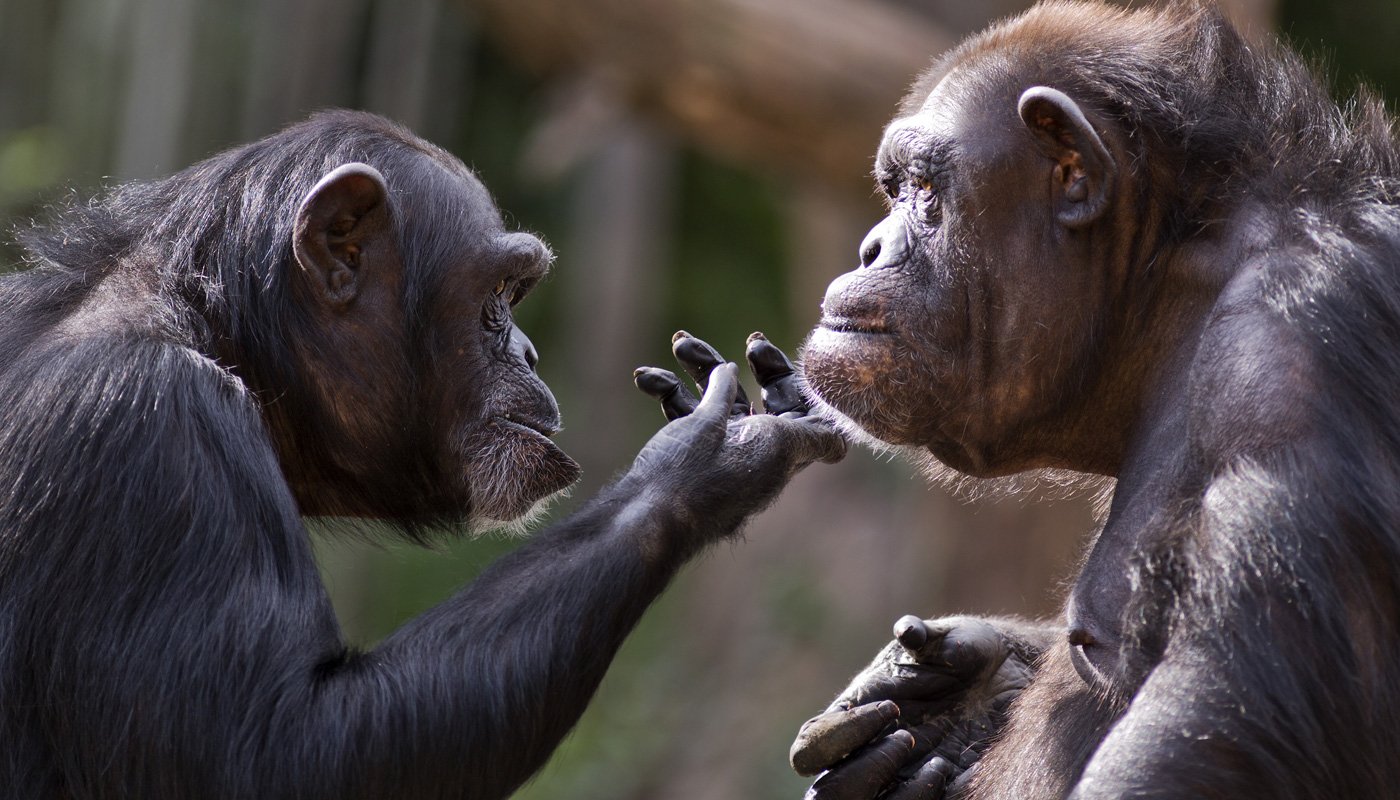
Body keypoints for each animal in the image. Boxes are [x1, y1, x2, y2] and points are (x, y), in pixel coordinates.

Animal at [0, 111, 840, 800]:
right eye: (500, 294)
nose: (530, 354)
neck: (214, 329)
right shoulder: (148, 425)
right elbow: (279, 753)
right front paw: (699, 461)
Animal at [789, 3, 1400, 795]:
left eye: (925, 191)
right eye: (895, 189)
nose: (871, 247)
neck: (1169, 286)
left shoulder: (1289, 363)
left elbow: (1215, 737)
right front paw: (960, 688)